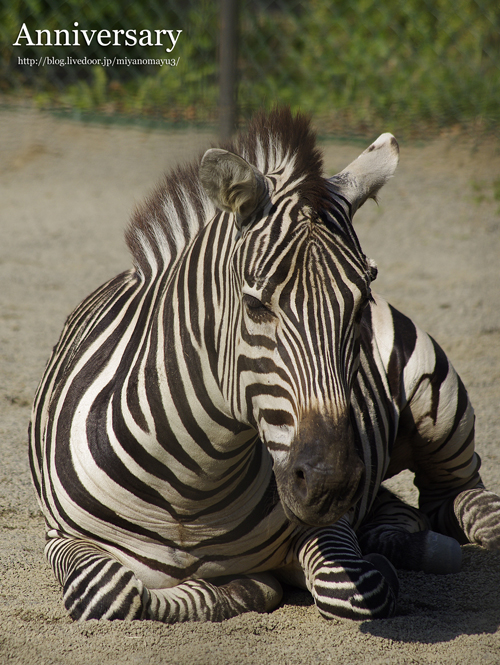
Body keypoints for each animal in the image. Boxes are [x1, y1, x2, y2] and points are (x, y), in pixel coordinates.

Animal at [28, 109, 500, 624]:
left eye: (360, 305)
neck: (192, 487)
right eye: (255, 306)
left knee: (461, 498)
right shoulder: (62, 538)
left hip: (439, 407)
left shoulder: (330, 528)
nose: (330, 485)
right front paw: (241, 590)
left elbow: (352, 588)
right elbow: (110, 590)